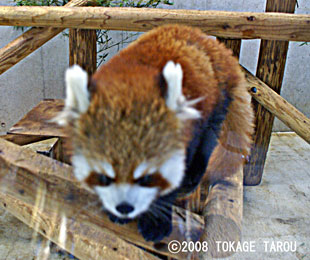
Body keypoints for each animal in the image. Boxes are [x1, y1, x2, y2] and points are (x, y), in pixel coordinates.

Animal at [54, 23, 254, 242]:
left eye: (147, 176)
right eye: (106, 175)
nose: (124, 207)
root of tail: (211, 43)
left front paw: (155, 221)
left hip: (216, 100)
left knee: (207, 139)